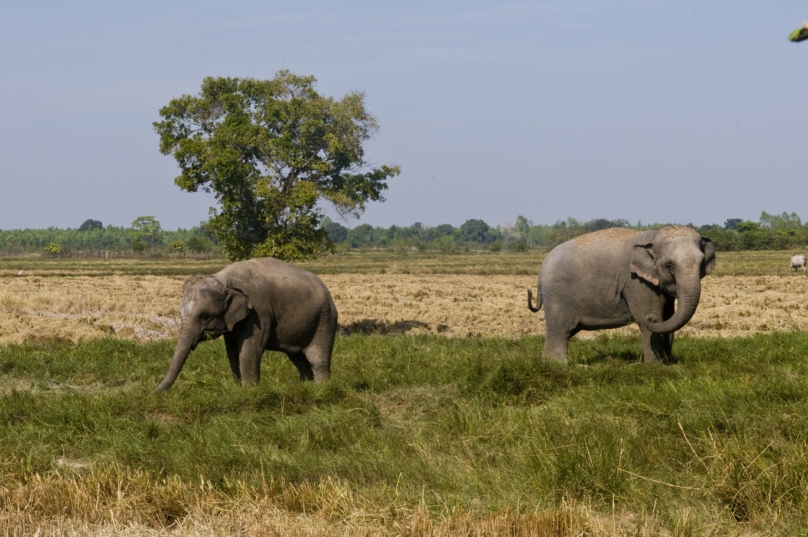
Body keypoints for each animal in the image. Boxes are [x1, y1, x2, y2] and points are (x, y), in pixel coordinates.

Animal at [155, 255, 338, 390]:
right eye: (180, 314)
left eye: (204, 316)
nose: (153, 392)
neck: (222, 278)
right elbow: (232, 352)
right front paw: (239, 389)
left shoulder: (258, 313)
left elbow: (249, 351)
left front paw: (250, 391)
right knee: (298, 357)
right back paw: (307, 386)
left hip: (325, 319)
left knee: (317, 358)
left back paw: (321, 389)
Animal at [528, 224, 716, 362]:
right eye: (669, 265)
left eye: (701, 262)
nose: (652, 319)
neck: (653, 236)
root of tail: (542, 268)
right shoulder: (636, 282)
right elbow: (647, 317)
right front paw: (656, 366)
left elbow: (669, 318)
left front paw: (668, 363)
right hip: (557, 295)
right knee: (560, 330)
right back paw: (562, 365)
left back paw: (548, 363)